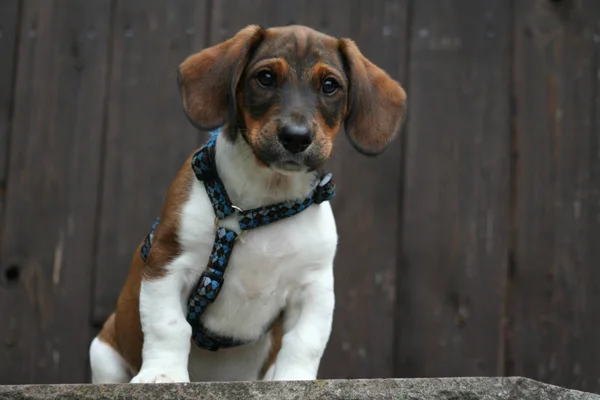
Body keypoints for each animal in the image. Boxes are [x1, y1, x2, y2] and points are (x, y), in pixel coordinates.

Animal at [89, 25, 406, 384]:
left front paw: (293, 380)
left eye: (330, 85)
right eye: (265, 77)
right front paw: (163, 375)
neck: (263, 199)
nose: (296, 137)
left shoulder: (315, 287)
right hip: (103, 354)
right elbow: (168, 326)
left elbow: (305, 342)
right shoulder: (167, 262)